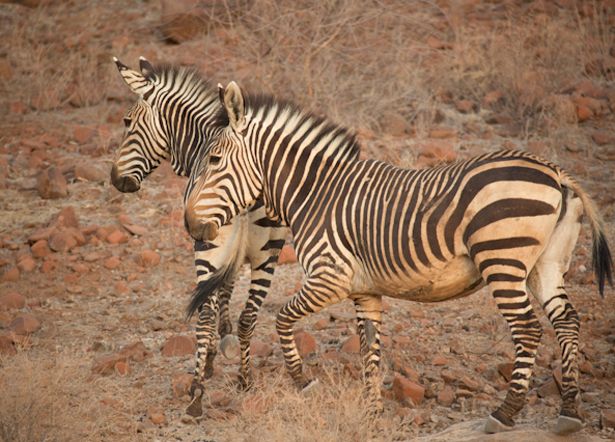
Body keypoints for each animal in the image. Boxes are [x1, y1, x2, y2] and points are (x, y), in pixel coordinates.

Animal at [109, 59, 288, 418]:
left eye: (127, 122)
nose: (115, 179)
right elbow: (228, 289)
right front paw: (227, 338)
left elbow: (216, 297)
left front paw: (212, 357)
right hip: (269, 253)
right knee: (250, 315)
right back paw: (245, 378)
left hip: (207, 244)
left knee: (203, 315)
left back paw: (196, 392)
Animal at [183, 81, 612, 434]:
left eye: (214, 161)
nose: (191, 225)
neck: (314, 192)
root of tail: (557, 173)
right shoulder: (364, 291)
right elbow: (370, 350)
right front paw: (372, 413)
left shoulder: (329, 276)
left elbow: (283, 319)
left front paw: (304, 381)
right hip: (546, 264)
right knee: (567, 321)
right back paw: (569, 413)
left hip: (503, 259)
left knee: (528, 329)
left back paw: (504, 414)